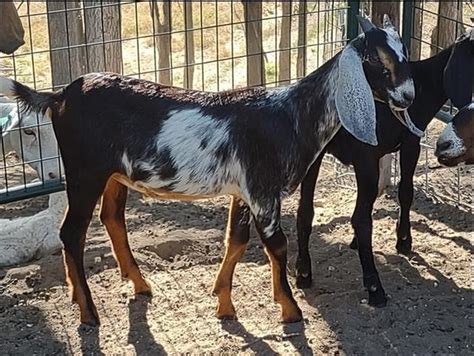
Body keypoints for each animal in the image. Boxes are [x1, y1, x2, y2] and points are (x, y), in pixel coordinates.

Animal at [0, 15, 414, 326]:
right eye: (377, 61)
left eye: (405, 54)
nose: (409, 96)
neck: (288, 116)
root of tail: (59, 96)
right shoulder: (263, 190)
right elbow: (276, 245)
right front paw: (291, 310)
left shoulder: (243, 190)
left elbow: (237, 241)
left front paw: (223, 303)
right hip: (84, 172)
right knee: (72, 233)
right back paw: (89, 313)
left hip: (114, 175)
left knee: (112, 218)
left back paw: (134, 285)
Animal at [294, 27, 472, 306]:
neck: (424, 82)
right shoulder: (409, 143)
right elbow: (405, 192)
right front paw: (404, 241)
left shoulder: (379, 153)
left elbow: (378, 192)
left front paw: (357, 242)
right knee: (359, 218)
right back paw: (375, 288)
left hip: (315, 154)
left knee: (305, 212)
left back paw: (303, 273)